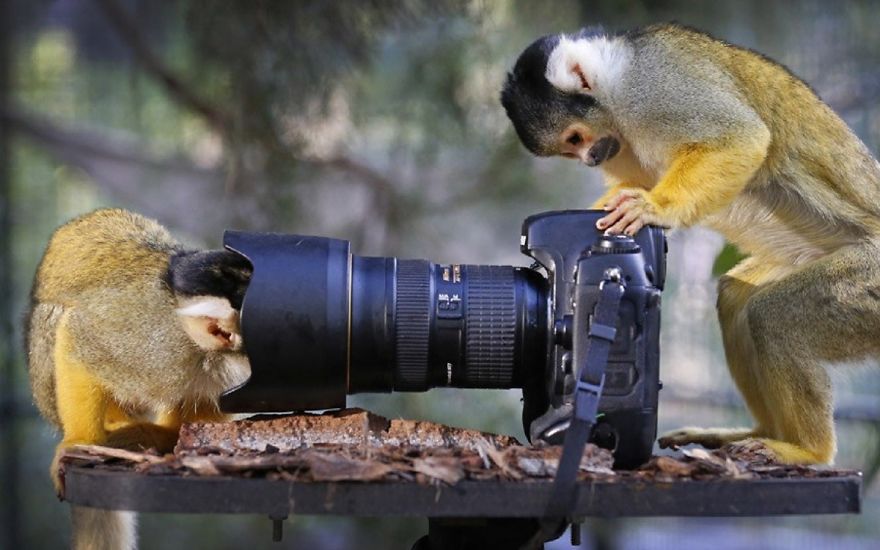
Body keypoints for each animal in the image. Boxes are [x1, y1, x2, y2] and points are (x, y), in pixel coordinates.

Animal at [26, 208, 252, 550]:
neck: (201, 348)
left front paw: (172, 438)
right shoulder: (154, 342)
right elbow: (80, 336)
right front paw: (80, 442)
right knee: (56, 315)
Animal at [501, 23, 880, 466]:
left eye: (576, 137)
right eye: (569, 148)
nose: (591, 159)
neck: (615, 80)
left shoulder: (653, 84)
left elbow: (741, 138)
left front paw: (654, 208)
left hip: (869, 281)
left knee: (773, 315)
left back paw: (808, 451)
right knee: (735, 299)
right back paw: (756, 434)